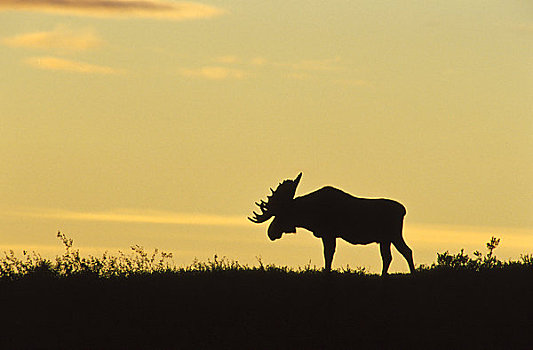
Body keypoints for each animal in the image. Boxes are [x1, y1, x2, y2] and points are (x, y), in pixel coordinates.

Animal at [247, 174, 414, 274]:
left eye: (282, 213)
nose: (271, 232)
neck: (309, 214)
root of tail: (403, 210)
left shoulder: (329, 233)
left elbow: (328, 254)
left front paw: (327, 272)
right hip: (386, 239)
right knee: (390, 256)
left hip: (393, 235)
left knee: (405, 251)